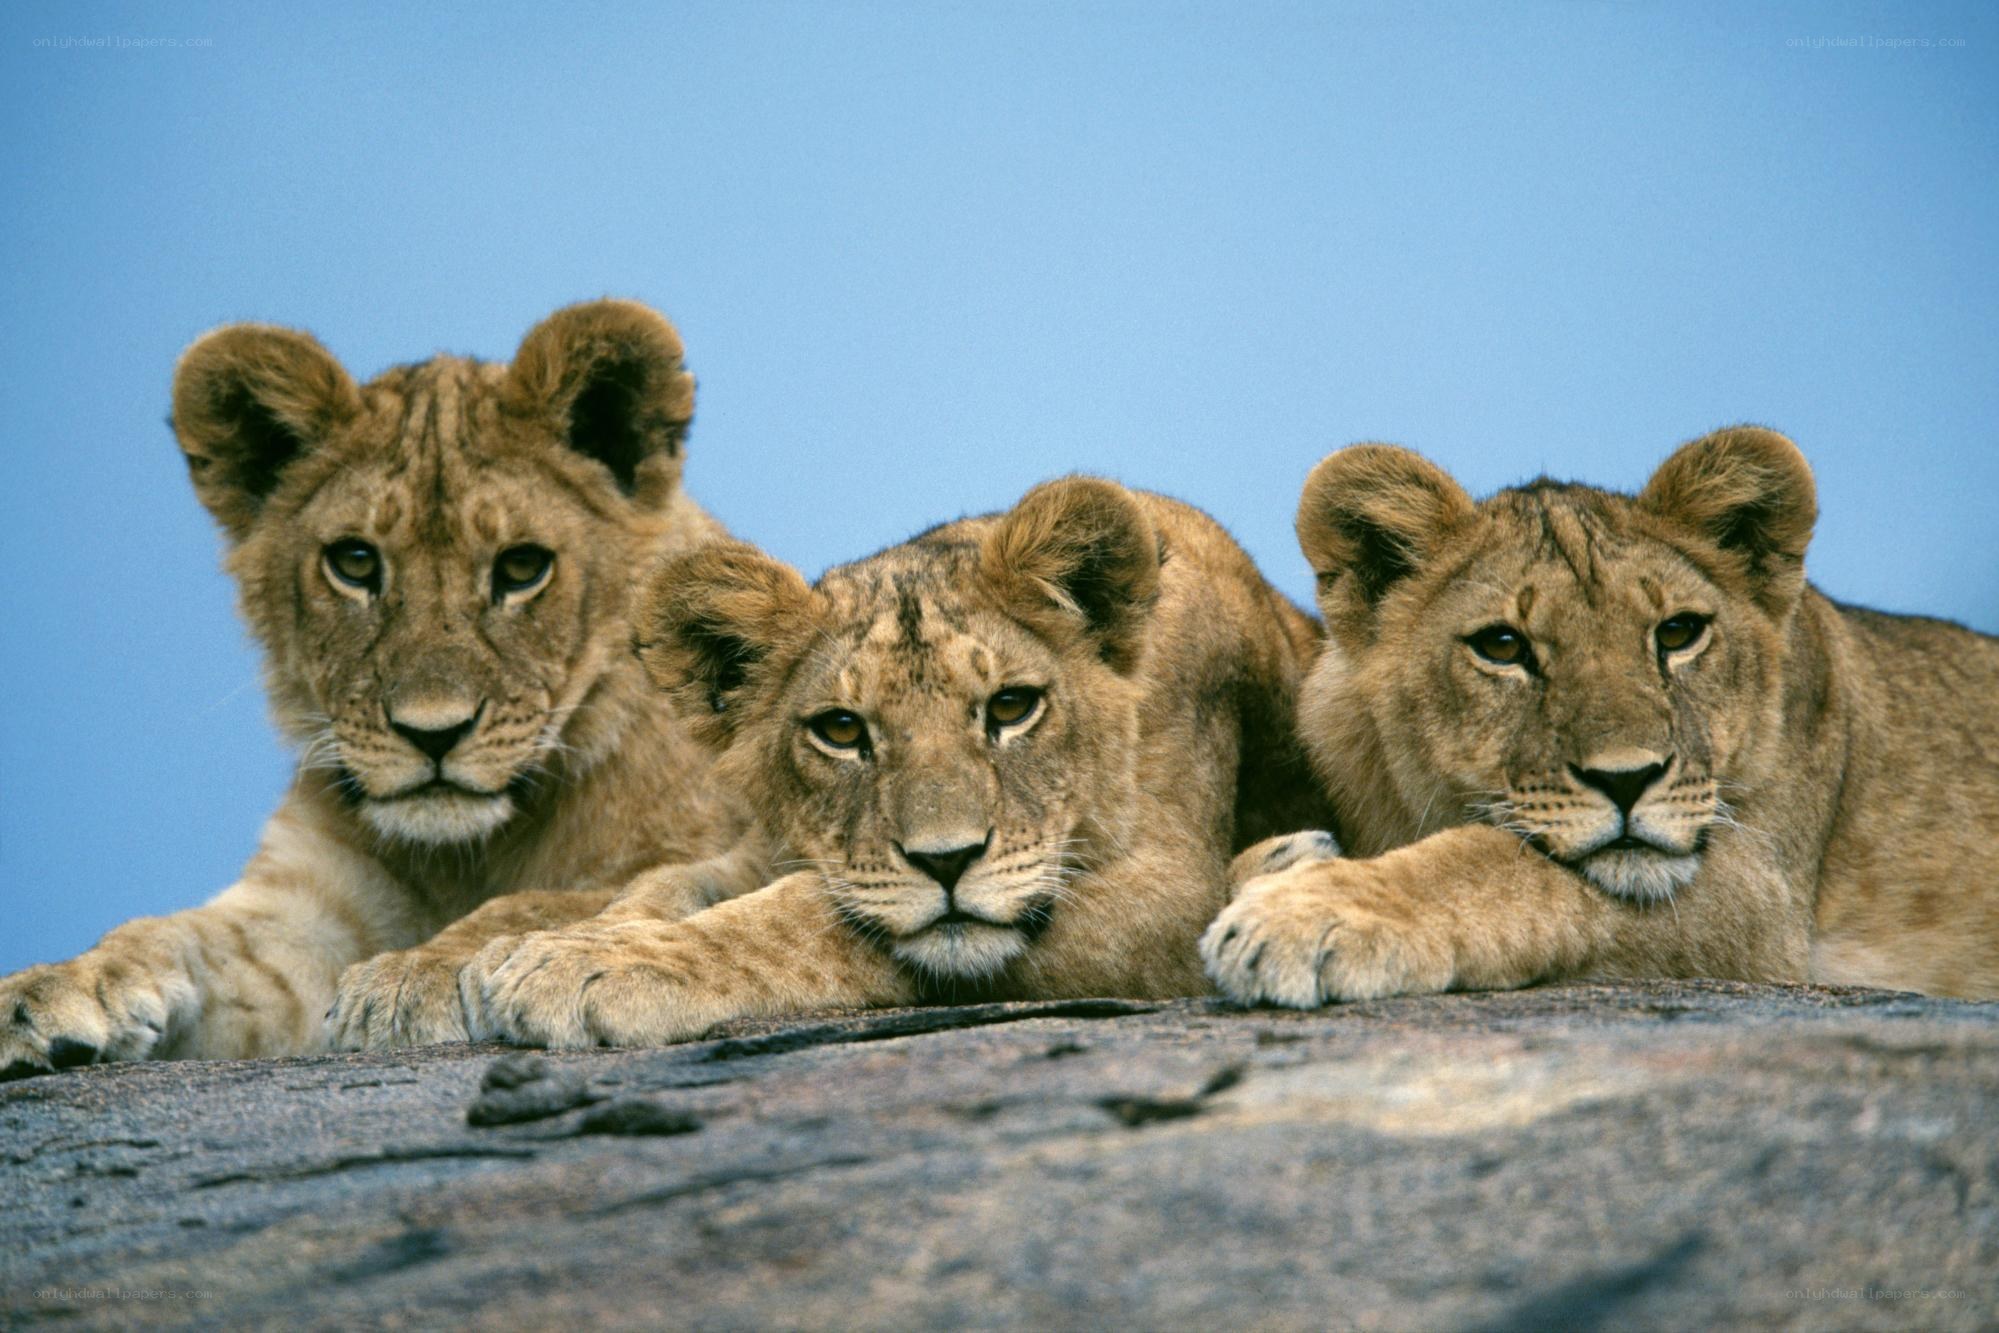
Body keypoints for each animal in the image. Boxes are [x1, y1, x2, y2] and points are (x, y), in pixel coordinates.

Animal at [0, 299, 749, 1077]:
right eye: (354, 562)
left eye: (522, 568)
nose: (433, 732)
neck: (463, 855)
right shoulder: (303, 915)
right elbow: (171, 932)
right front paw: (49, 987)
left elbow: (542, 901)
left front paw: (415, 971)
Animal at [453, 476, 1331, 1048]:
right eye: (841, 730)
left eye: (1011, 707)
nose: (946, 861)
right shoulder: (768, 844)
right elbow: (667, 883)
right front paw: (530, 949)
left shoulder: (1168, 888)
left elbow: (805, 918)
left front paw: (595, 964)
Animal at [1203, 426, 1999, 1007]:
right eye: (1502, 646)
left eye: (1677, 633)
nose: (1628, 779)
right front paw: (1281, 863)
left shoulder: (1764, 899)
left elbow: (1502, 867)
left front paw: (1307, 913)